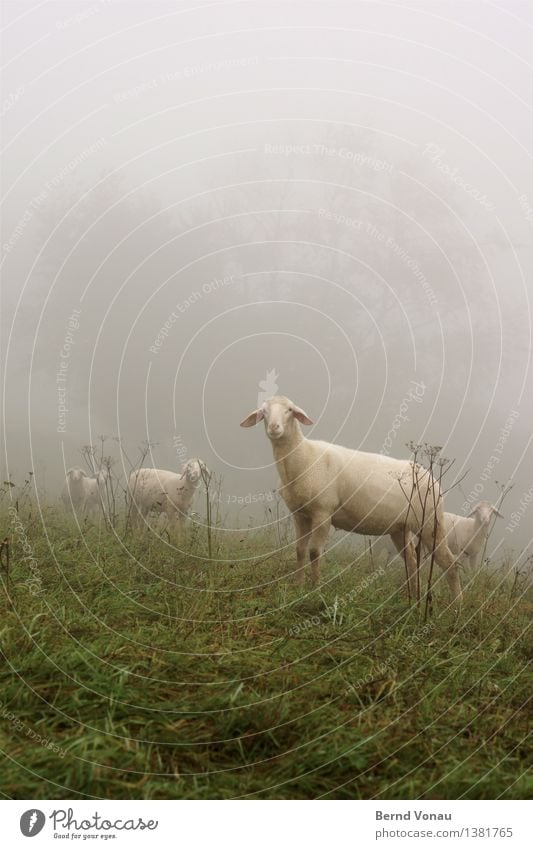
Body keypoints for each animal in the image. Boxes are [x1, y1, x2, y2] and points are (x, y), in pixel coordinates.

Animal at [241, 392, 462, 600]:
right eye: (264, 412)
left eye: (289, 410)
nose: (274, 428)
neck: (303, 457)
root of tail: (432, 479)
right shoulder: (300, 514)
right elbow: (300, 550)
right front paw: (299, 586)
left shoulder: (323, 513)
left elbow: (314, 552)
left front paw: (315, 589)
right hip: (400, 527)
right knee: (412, 560)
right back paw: (413, 598)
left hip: (430, 522)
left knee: (449, 563)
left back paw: (455, 606)